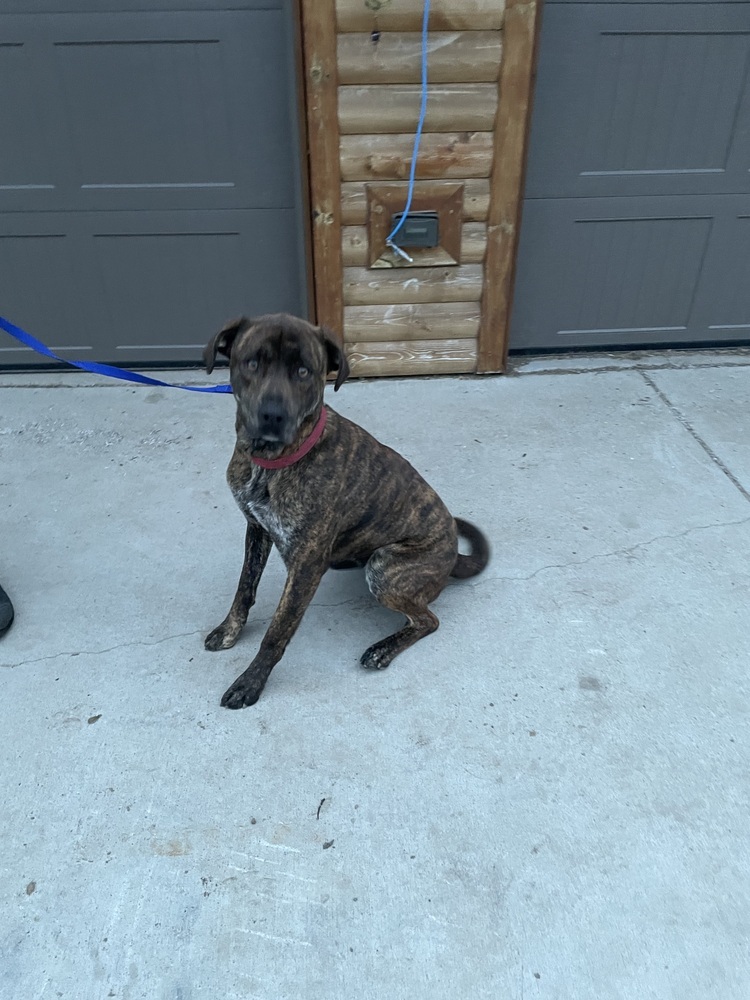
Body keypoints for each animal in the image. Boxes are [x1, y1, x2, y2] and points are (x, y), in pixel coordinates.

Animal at [203, 316, 490, 708]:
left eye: (304, 371)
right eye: (251, 363)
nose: (273, 415)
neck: (273, 463)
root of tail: (452, 557)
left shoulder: (306, 565)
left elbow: (277, 632)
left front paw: (251, 682)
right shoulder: (256, 528)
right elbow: (244, 588)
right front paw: (229, 630)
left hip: (385, 568)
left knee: (428, 620)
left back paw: (383, 649)